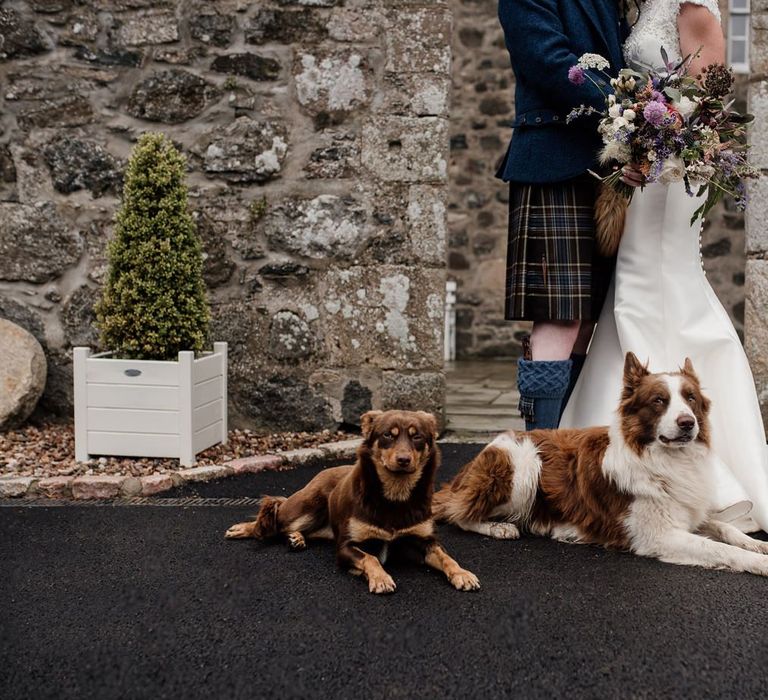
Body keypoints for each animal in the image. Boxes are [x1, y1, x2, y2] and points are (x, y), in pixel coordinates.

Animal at [220, 410, 480, 596]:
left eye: (417, 436)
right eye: (388, 435)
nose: (404, 460)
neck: (395, 495)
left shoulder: (426, 541)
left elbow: (447, 557)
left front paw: (462, 574)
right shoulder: (345, 546)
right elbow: (370, 557)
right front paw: (381, 578)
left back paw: (297, 538)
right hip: (304, 506)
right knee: (274, 517)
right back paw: (244, 529)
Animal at [436, 352, 768, 576]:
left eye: (691, 398)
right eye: (658, 400)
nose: (688, 423)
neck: (666, 460)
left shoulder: (687, 511)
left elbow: (726, 528)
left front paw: (758, 545)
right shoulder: (658, 535)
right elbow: (718, 548)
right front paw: (760, 563)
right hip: (523, 468)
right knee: (458, 513)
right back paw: (499, 528)